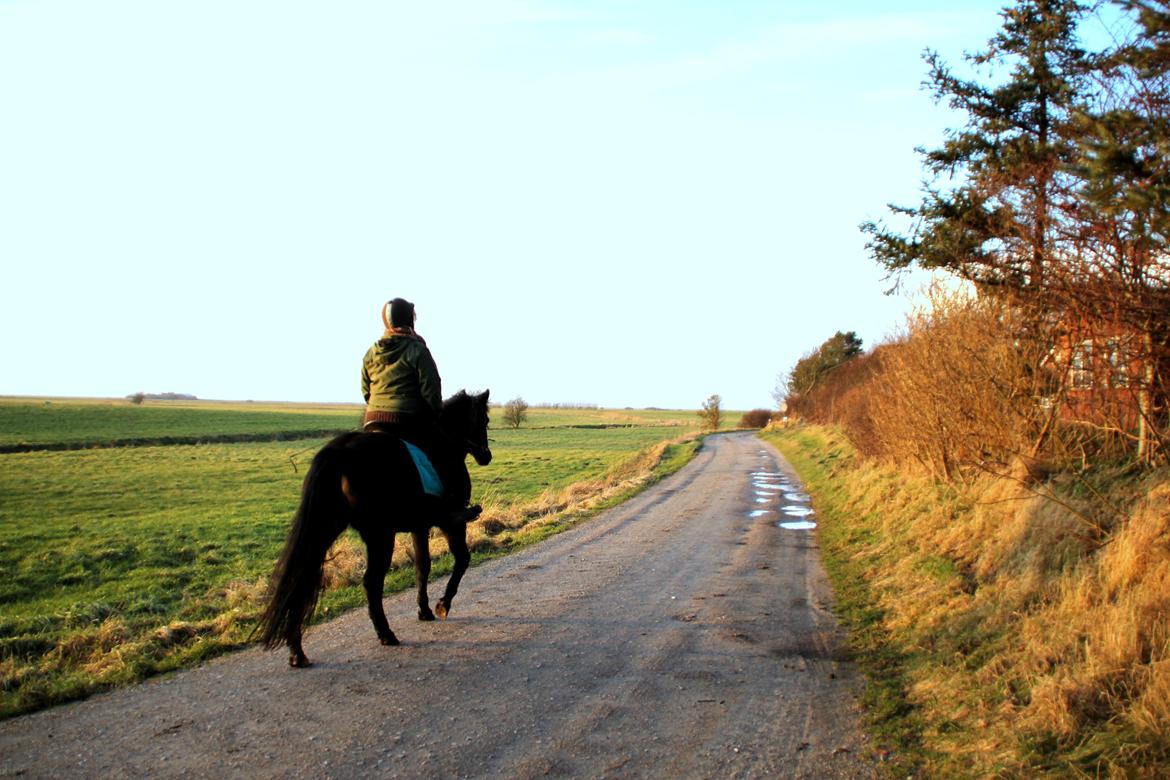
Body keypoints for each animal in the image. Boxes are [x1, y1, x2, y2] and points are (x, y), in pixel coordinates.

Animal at [253, 390, 491, 664]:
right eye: (484, 420)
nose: (486, 456)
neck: (444, 443)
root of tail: (338, 453)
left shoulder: (419, 525)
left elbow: (423, 566)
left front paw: (424, 610)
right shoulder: (451, 522)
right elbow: (462, 559)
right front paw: (443, 605)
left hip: (327, 528)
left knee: (301, 579)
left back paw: (296, 651)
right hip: (380, 534)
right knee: (371, 581)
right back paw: (385, 633)